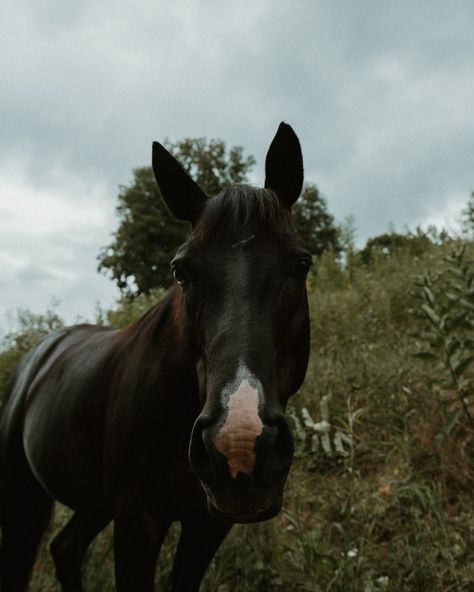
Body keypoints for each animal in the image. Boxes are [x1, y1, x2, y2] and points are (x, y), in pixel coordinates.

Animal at [0, 122, 312, 588]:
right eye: (180, 271)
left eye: (302, 264)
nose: (239, 444)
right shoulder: (138, 521)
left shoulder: (208, 523)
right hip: (24, 499)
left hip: (94, 501)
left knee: (65, 549)